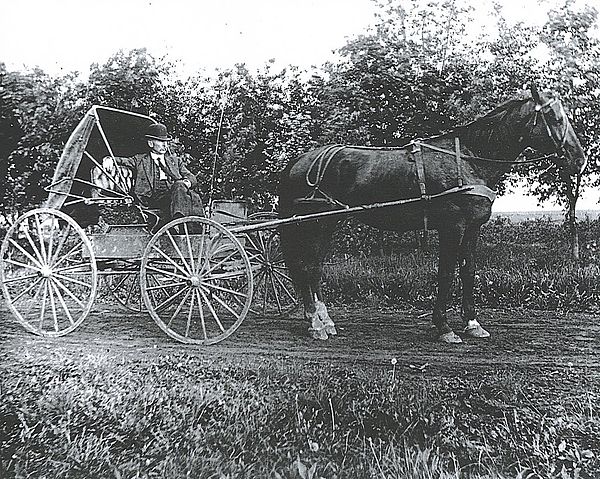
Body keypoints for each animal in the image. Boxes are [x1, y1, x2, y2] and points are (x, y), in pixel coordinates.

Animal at [278, 85, 588, 342]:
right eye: (554, 117)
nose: (579, 159)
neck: (467, 160)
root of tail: (301, 160)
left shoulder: (472, 228)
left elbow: (468, 271)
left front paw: (473, 323)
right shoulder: (452, 227)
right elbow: (446, 273)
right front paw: (444, 327)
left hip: (328, 223)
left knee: (314, 269)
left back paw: (325, 320)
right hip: (316, 224)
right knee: (308, 267)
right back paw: (316, 323)